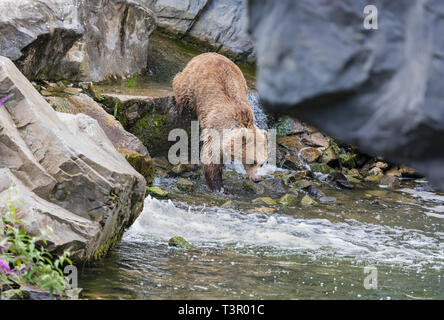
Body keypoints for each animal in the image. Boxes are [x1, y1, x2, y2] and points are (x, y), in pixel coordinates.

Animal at [173, 53, 268, 192]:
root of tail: (208, 54)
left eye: (262, 163)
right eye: (252, 161)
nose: (257, 179)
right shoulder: (217, 129)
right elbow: (211, 157)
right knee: (181, 87)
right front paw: (218, 187)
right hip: (193, 82)